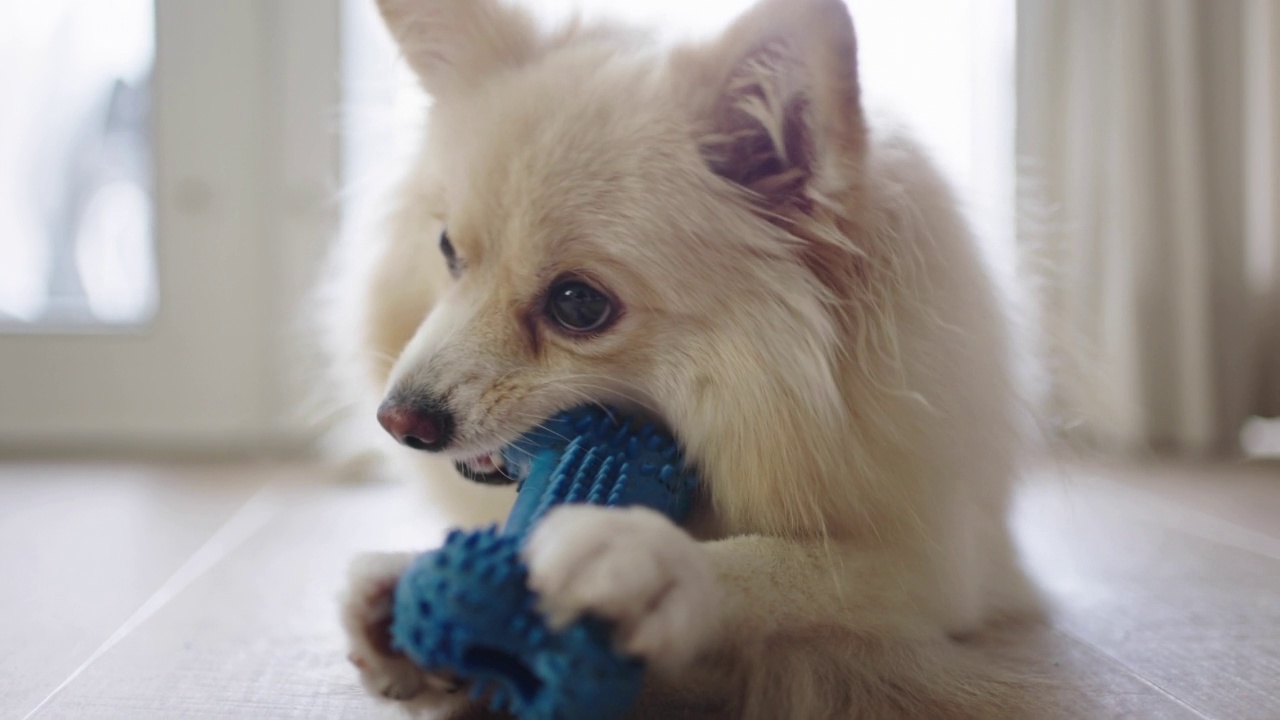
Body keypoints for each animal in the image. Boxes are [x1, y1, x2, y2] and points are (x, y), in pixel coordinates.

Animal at [335, 0, 1044, 712]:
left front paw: (655, 562)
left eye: (578, 304)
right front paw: (402, 584)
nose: (398, 420)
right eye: (448, 251)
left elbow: (799, 570)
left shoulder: (952, 568)